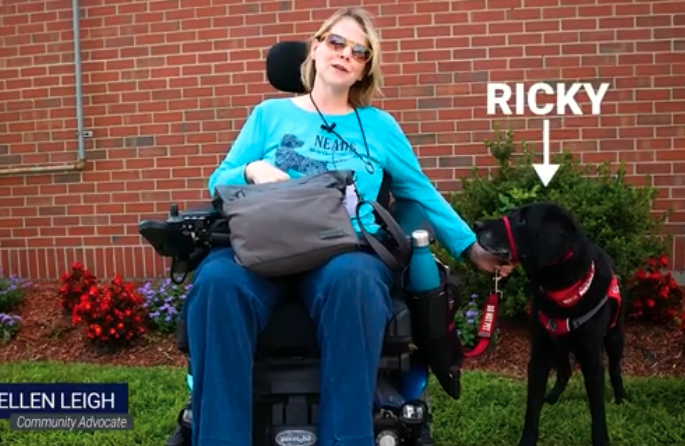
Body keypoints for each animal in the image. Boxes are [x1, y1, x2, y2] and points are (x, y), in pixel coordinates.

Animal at [472, 202, 628, 446]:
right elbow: (532, 406)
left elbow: (597, 410)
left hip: (614, 336)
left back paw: (621, 397)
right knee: (565, 371)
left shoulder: (592, 359)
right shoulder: (539, 353)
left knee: (614, 366)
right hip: (558, 344)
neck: (561, 291)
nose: (477, 225)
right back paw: (553, 397)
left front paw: (601, 440)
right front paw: (527, 440)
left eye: (522, 220)